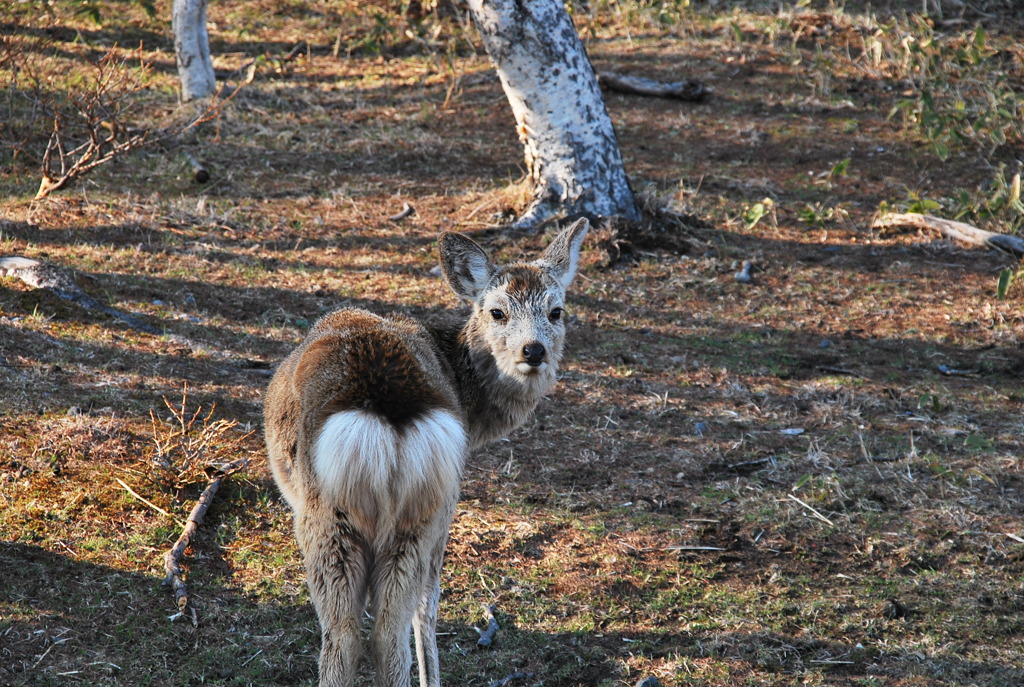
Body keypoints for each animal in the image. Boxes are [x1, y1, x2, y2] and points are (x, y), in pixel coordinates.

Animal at [260, 220, 589, 687]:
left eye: (556, 310)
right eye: (497, 312)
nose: (534, 350)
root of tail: (387, 415)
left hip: (344, 516)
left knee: (357, 632)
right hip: (419, 510)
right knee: (394, 619)